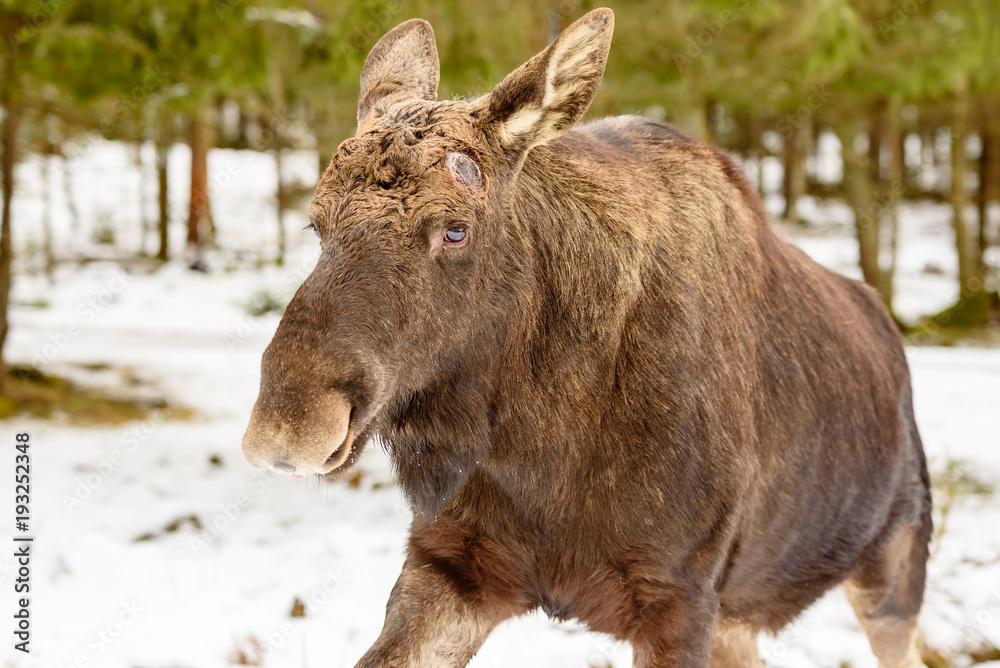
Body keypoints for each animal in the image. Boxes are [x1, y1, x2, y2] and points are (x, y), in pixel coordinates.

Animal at [242, 9, 931, 667]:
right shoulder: (453, 562)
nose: (286, 426)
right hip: (742, 615)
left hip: (893, 569)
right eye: (316, 222)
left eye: (456, 229)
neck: (541, 449)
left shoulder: (679, 595)